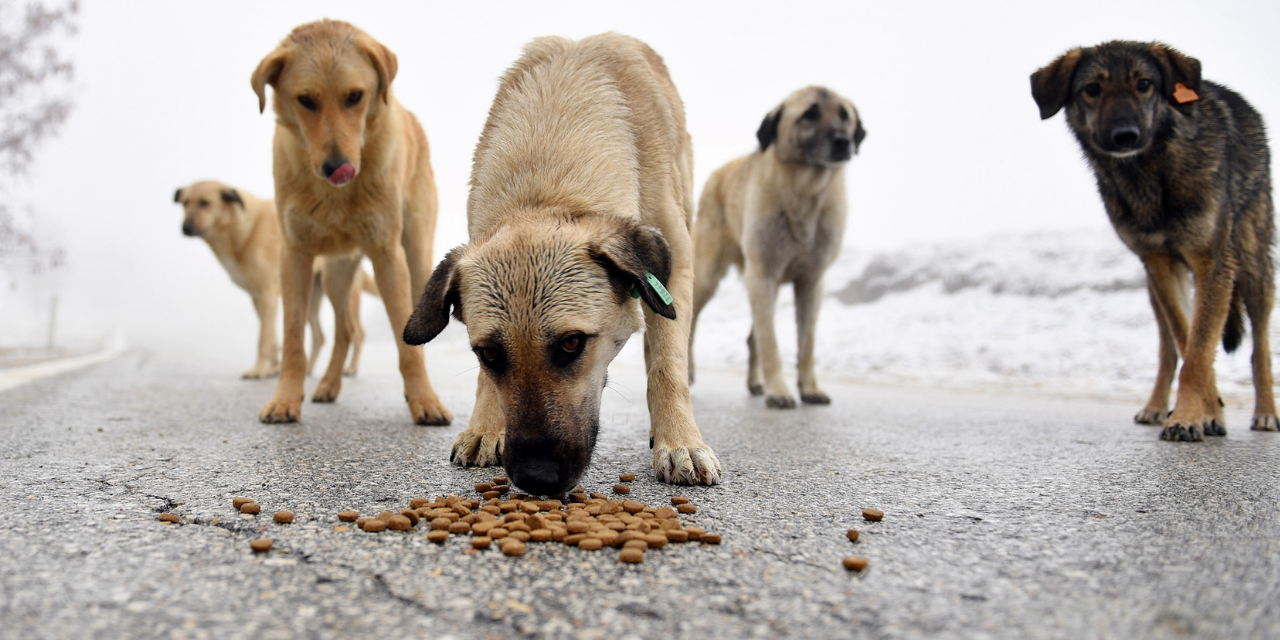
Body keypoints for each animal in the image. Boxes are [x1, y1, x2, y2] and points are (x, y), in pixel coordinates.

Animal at [170, 179, 373, 378]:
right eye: (185, 203)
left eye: (205, 203)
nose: (185, 228)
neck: (243, 230)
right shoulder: (259, 299)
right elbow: (272, 338)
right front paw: (272, 369)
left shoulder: (267, 296)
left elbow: (264, 338)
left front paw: (258, 370)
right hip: (308, 298)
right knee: (319, 336)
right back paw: (307, 369)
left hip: (342, 294)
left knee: (357, 333)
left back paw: (350, 368)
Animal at [249, 20, 450, 424]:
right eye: (306, 100)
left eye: (355, 96)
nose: (336, 167)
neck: (335, 196)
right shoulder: (294, 256)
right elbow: (293, 337)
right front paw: (285, 398)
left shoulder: (388, 254)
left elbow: (407, 342)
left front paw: (423, 399)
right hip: (336, 273)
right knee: (345, 329)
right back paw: (328, 384)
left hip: (416, 255)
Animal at [399, 33, 721, 488]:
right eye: (489, 353)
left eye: (571, 343)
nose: (536, 477)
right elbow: (484, 382)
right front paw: (486, 427)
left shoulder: (675, 270)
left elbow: (666, 367)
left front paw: (679, 441)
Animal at [691, 85, 860, 407]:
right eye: (810, 114)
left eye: (844, 116)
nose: (843, 142)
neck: (805, 193)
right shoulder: (762, 275)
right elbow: (770, 342)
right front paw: (779, 390)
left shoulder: (811, 282)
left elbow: (806, 343)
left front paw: (809, 388)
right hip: (707, 276)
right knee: (689, 321)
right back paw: (687, 370)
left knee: (751, 337)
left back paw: (755, 382)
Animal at [1034, 40, 1274, 440]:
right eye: (1093, 89)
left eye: (1144, 84)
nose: (1124, 135)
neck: (1150, 173)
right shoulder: (1160, 264)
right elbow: (1189, 343)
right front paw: (1205, 412)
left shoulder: (1213, 263)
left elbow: (1200, 349)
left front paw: (1190, 416)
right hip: (1155, 288)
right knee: (1169, 348)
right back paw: (1159, 406)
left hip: (1253, 268)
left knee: (1261, 348)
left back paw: (1267, 412)